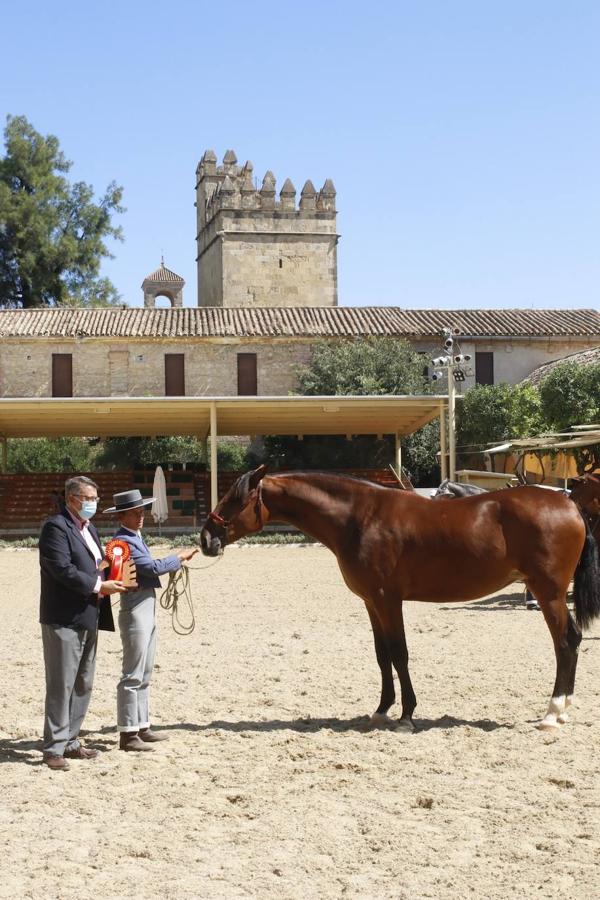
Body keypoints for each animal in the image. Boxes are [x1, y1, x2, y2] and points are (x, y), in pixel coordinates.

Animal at [202, 472, 600, 732]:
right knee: (573, 640)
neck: (359, 517)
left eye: (235, 498)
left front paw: (407, 715)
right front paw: (381, 710)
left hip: (548, 593)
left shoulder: (388, 600)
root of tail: (568, 502)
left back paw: (552, 713)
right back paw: (563, 709)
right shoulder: (371, 603)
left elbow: (399, 653)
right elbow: (382, 656)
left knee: (565, 643)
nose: (206, 538)